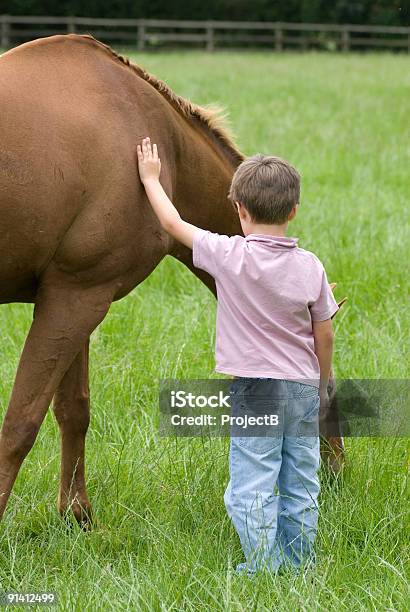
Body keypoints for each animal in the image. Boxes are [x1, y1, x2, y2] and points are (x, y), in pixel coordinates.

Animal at [0, 33, 344, 524]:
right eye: (328, 385)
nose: (335, 470)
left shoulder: (73, 296)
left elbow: (73, 410)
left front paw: (77, 518)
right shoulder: (75, 299)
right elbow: (20, 424)